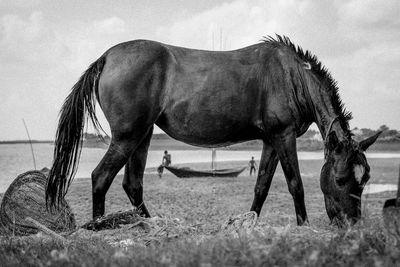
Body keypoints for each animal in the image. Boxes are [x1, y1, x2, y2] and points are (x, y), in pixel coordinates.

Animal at [45, 34, 380, 226]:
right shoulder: (283, 137)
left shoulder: (271, 140)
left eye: (365, 179)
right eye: (340, 179)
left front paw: (249, 223)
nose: (352, 224)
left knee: (132, 183)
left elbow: (261, 186)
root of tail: (106, 57)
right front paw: (302, 226)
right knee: (101, 177)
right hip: (127, 137)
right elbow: (295, 183)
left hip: (142, 136)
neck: (292, 76)